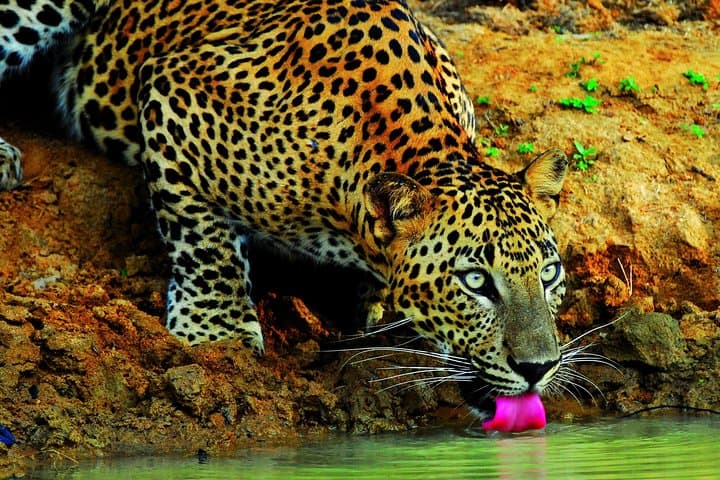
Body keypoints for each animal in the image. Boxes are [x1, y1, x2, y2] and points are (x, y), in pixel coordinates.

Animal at [0, 0, 569, 415]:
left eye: (549, 274)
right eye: (475, 282)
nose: (539, 367)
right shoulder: (175, 91)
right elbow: (202, 238)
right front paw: (217, 331)